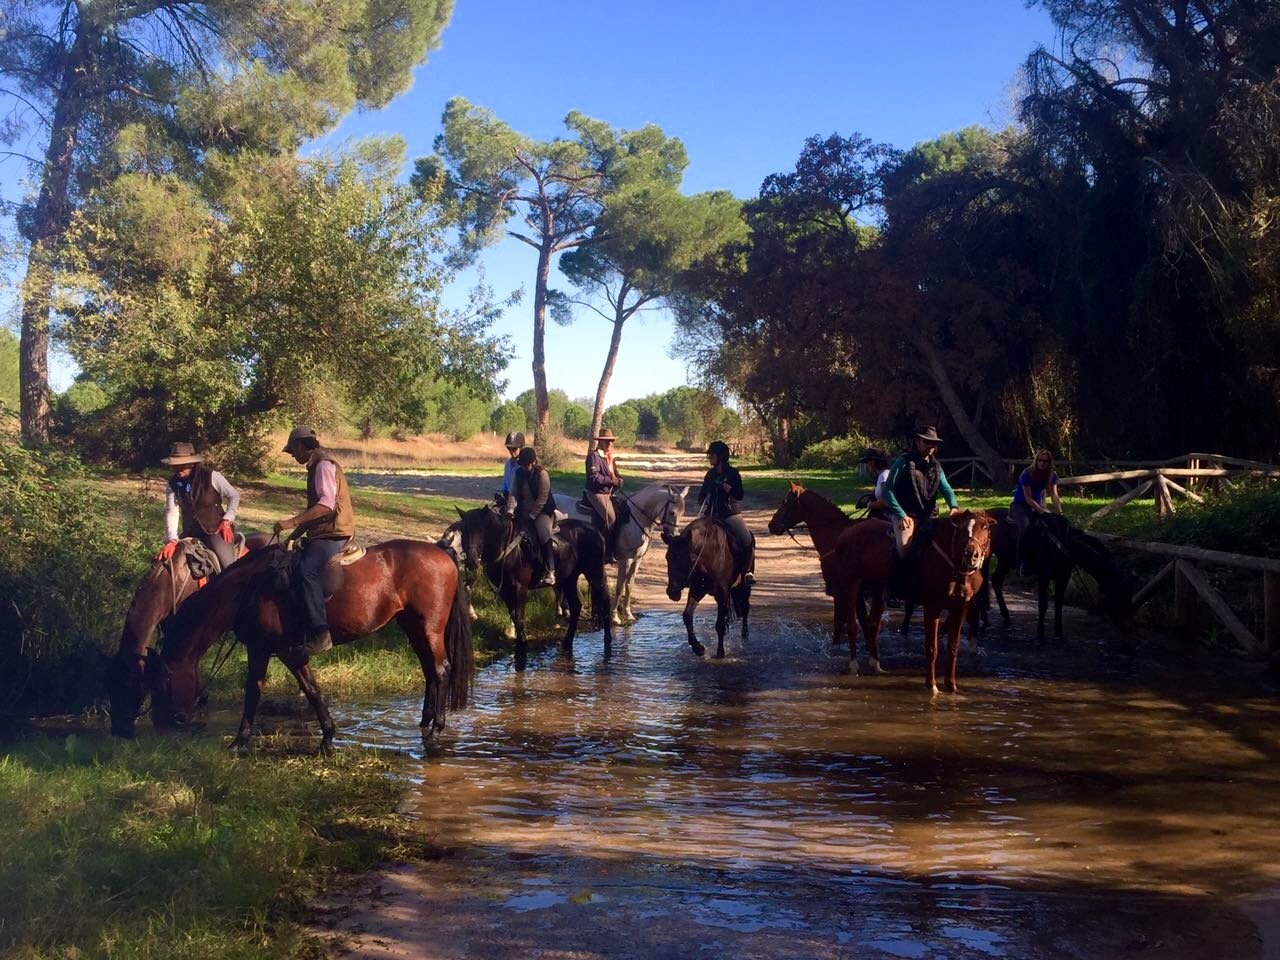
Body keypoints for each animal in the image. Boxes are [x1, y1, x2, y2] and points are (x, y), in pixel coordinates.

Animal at [147, 540, 473, 750]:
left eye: (164, 683)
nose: (160, 727)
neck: (249, 589)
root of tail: (442, 553)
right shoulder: (259, 648)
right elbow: (253, 691)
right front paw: (240, 741)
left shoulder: (289, 651)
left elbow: (311, 689)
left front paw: (327, 738)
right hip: (412, 625)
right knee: (428, 670)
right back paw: (424, 721)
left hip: (430, 627)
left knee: (441, 670)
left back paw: (436, 730)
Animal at [454, 505, 613, 671]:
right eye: (464, 531)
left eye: (481, 529)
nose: (471, 561)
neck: (509, 548)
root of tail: (594, 530)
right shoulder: (505, 591)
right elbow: (514, 617)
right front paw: (520, 650)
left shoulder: (520, 588)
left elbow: (519, 618)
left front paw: (522, 654)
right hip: (569, 578)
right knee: (576, 606)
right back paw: (567, 642)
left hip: (594, 573)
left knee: (605, 602)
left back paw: (607, 641)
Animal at [554, 484, 688, 624]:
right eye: (672, 512)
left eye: (682, 513)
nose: (673, 535)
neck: (636, 518)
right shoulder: (626, 560)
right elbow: (620, 587)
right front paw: (615, 617)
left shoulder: (637, 560)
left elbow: (629, 586)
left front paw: (628, 614)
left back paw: (563, 611)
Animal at [662, 518, 751, 659]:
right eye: (667, 557)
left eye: (686, 558)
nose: (672, 591)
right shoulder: (697, 589)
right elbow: (687, 616)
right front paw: (698, 648)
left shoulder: (722, 594)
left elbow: (719, 625)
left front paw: (720, 653)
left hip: (744, 585)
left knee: (745, 606)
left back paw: (745, 633)